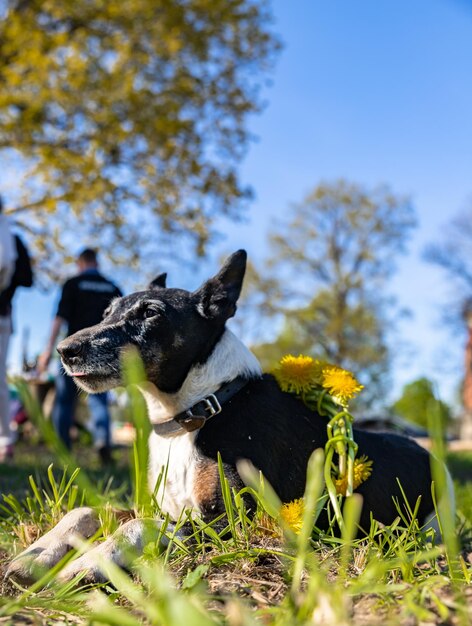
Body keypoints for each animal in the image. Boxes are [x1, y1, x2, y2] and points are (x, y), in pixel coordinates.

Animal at [6, 251, 450, 584]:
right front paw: (39, 552)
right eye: (106, 310)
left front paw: (87, 561)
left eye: (151, 313)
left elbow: (135, 526)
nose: (65, 350)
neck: (197, 409)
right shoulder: (165, 506)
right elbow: (88, 511)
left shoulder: (231, 523)